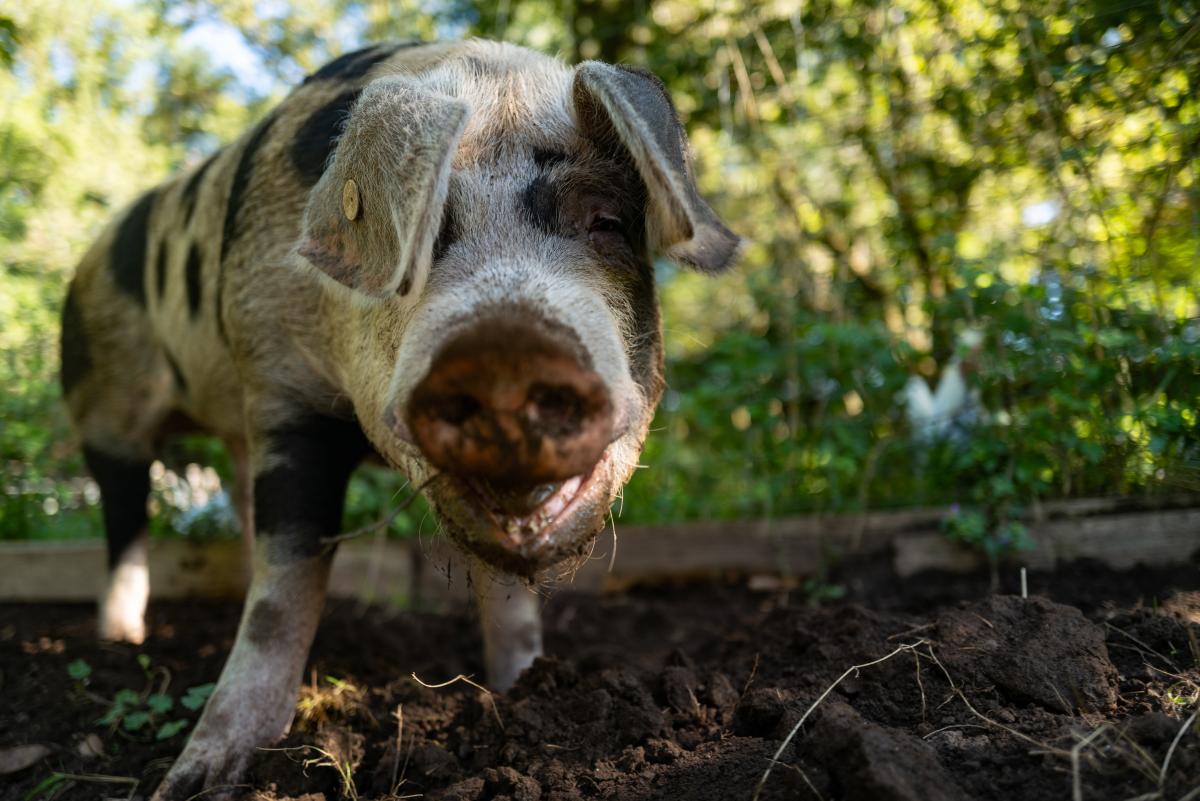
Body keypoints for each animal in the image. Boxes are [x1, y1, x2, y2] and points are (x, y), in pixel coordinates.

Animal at [63, 40, 739, 796]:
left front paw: (518, 685)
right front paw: (192, 782)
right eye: (425, 234)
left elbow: (504, 594)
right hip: (101, 408)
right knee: (127, 525)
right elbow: (283, 592)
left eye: (608, 222)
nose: (508, 349)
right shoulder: (280, 389)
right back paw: (121, 640)